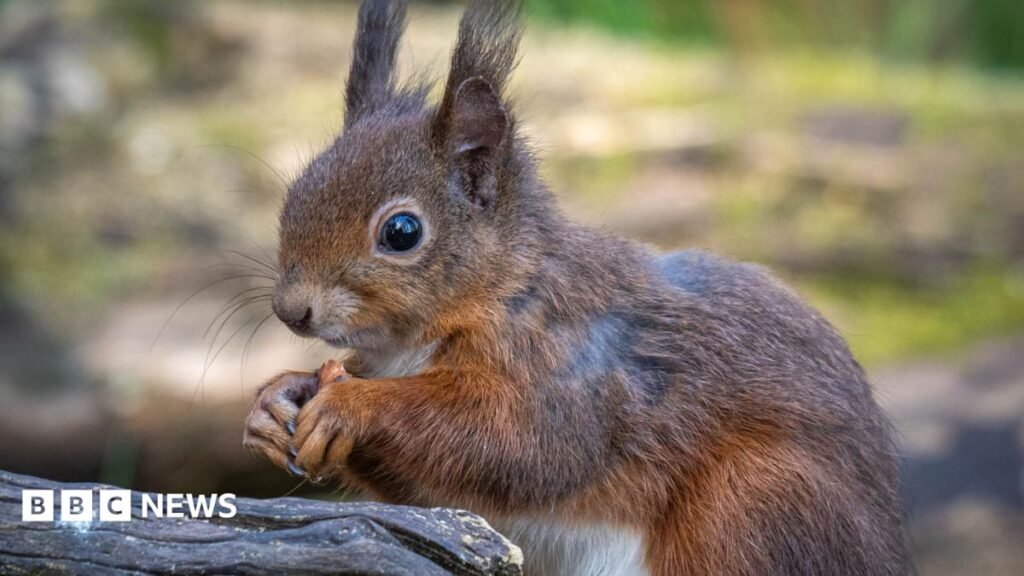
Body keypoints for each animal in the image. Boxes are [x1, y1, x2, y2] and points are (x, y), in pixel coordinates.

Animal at [241, 1, 910, 574]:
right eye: (298, 188)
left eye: (401, 232)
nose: (292, 310)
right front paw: (277, 400)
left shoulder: (572, 365)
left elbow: (519, 444)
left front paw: (353, 404)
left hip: (752, 502)